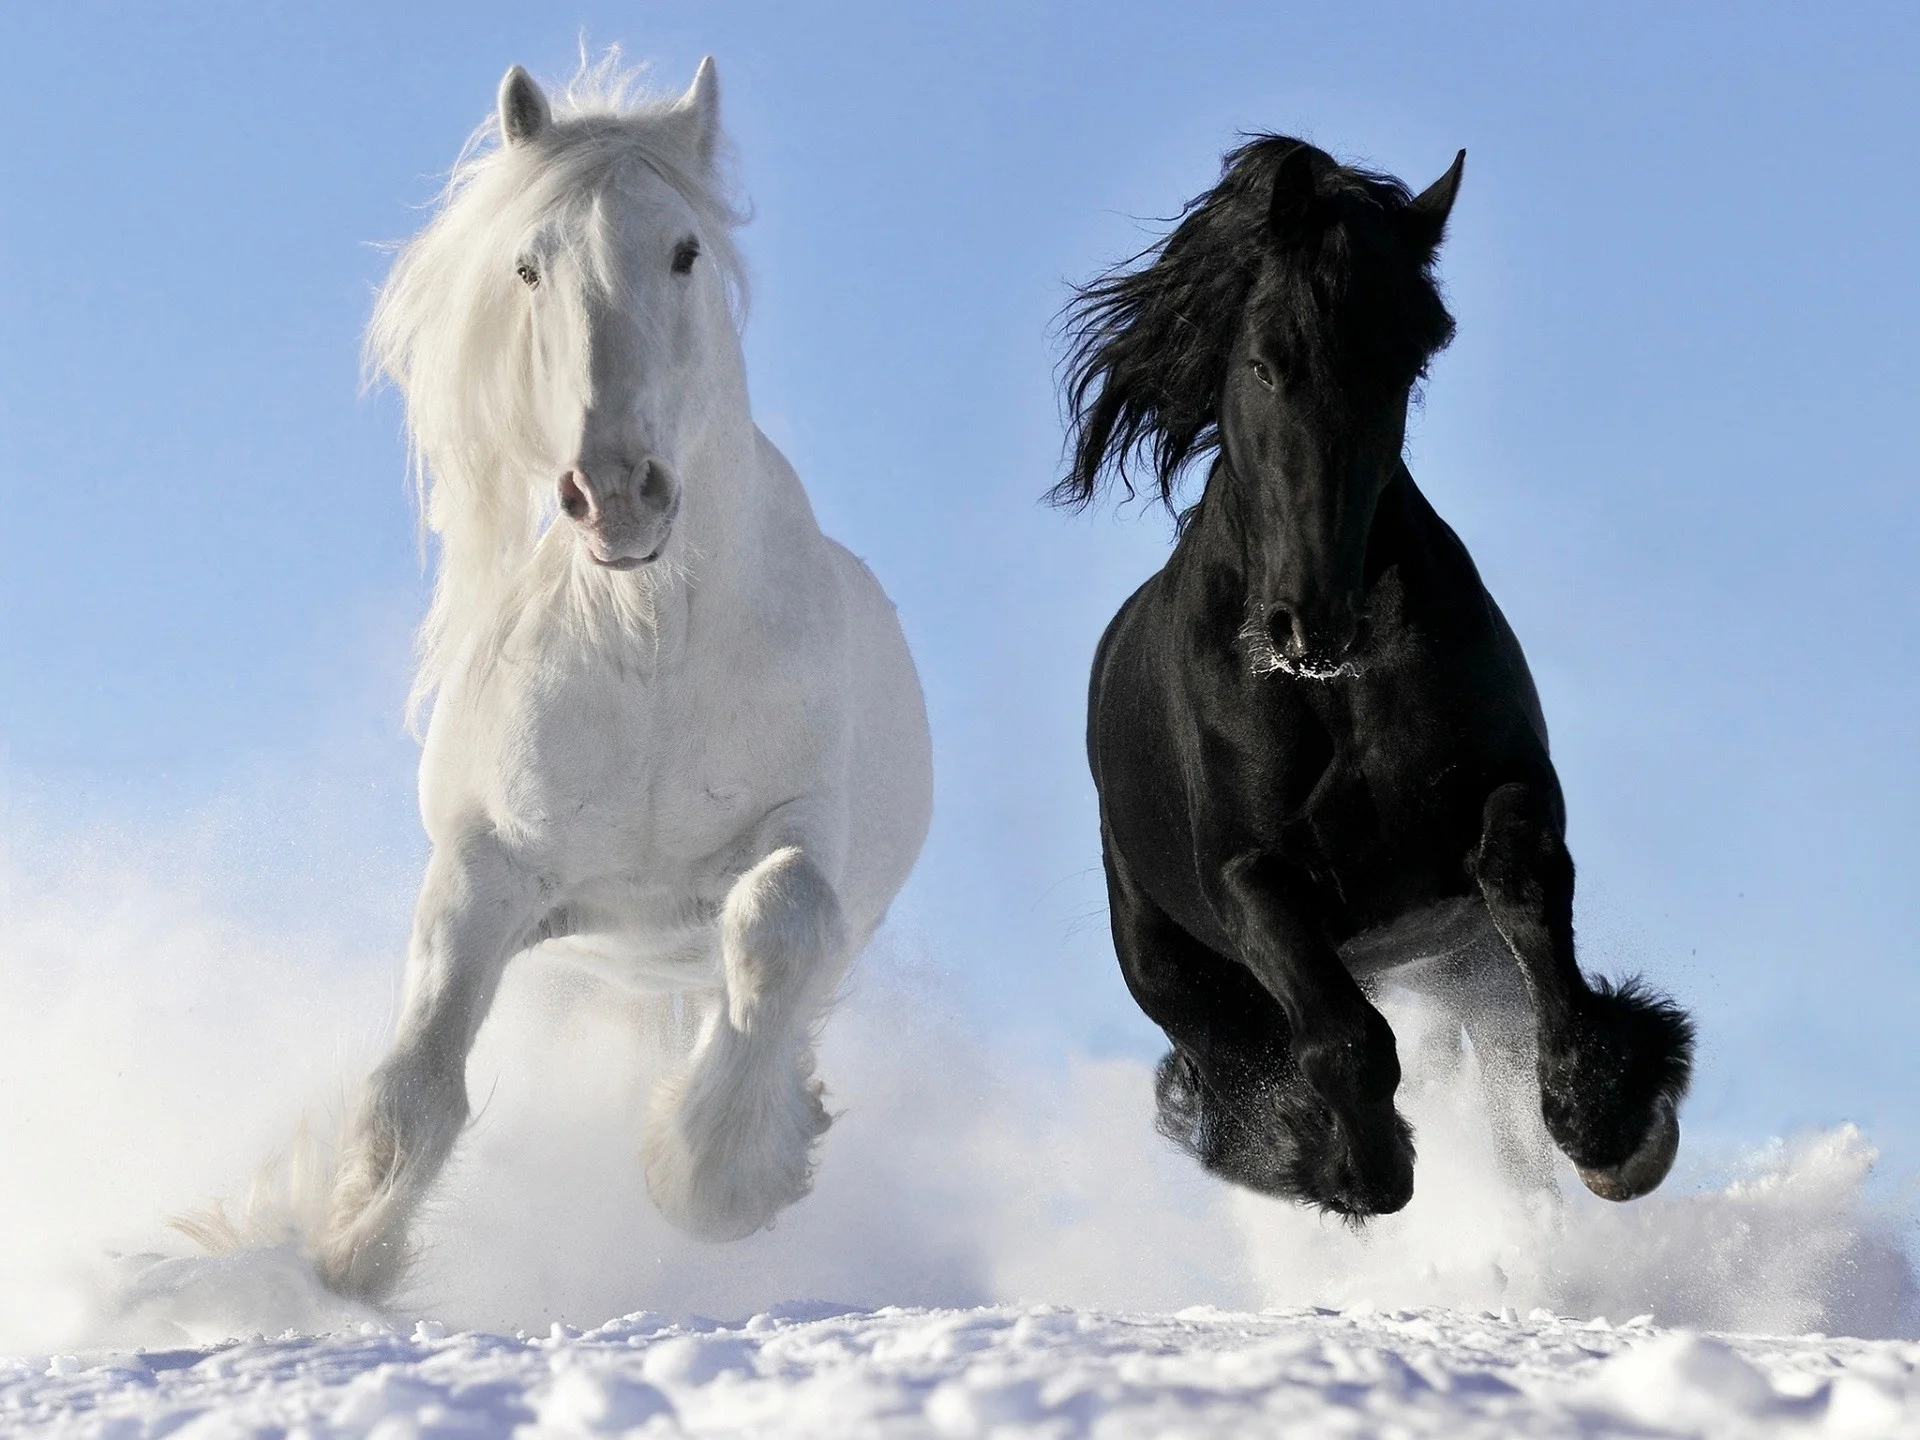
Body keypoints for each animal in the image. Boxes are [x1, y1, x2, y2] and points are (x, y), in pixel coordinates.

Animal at [311, 54, 932, 1302]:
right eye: (527, 264)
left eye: (685, 250)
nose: (615, 493)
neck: (649, 644)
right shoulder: (487, 869)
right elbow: (415, 1083)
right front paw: (343, 1255)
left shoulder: (803, 832)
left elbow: (782, 919)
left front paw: (712, 1178)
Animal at [1053, 137, 1694, 1218]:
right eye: (1265, 361)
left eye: (1402, 364)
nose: (1311, 621)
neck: (1332, 693)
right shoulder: (1249, 877)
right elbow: (1342, 1038)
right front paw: (1354, 1164)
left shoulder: (1506, 790)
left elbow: (1525, 888)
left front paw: (1611, 1120)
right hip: (1176, 971)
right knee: (1242, 1065)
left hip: (1459, 964)